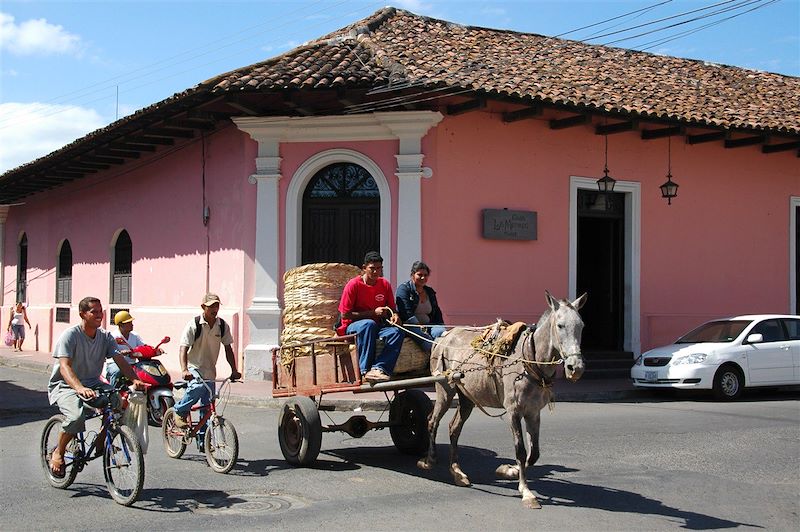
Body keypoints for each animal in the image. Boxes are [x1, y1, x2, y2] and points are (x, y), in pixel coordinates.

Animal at [418, 294, 588, 510]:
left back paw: (457, 472)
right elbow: (521, 451)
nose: (576, 368)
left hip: (467, 397)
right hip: (444, 390)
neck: (529, 361)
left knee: (454, 428)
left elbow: (534, 454)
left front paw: (509, 471)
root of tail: (443, 337)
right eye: (560, 325)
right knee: (433, 421)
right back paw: (429, 460)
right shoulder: (513, 411)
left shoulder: (533, 412)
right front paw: (526, 492)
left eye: (581, 325)